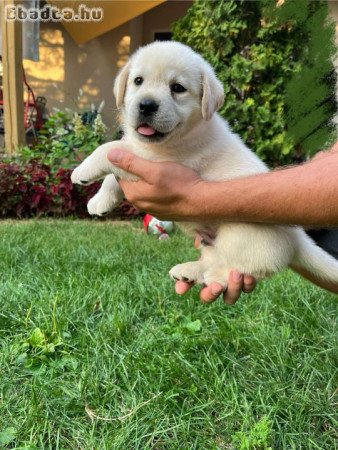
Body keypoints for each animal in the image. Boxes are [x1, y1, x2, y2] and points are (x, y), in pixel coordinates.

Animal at [71, 42, 338, 288]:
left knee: (237, 268)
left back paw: (211, 277)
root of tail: (297, 238)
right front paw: (100, 201)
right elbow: (115, 166)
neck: (182, 134)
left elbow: (110, 149)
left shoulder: (156, 162)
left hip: (239, 236)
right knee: (215, 259)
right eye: (138, 81)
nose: (146, 105)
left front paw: (82, 170)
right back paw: (189, 271)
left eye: (177, 88)